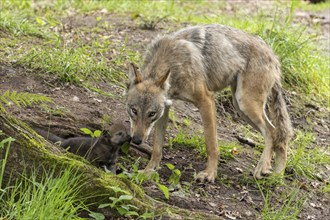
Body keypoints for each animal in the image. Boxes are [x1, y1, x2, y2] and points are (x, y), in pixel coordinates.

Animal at [125, 23, 292, 182]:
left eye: (151, 114)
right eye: (134, 111)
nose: (136, 140)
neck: (172, 61)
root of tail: (272, 53)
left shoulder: (206, 100)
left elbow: (211, 145)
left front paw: (210, 174)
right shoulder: (165, 108)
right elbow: (157, 148)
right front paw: (148, 172)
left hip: (246, 104)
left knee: (272, 132)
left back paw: (263, 168)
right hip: (241, 108)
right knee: (279, 136)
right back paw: (276, 176)